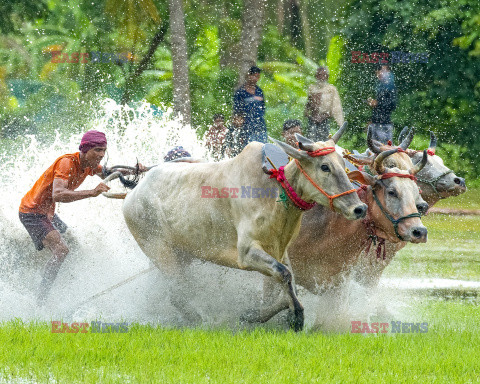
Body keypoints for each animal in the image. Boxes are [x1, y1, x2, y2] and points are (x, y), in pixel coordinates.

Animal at [122, 127, 366, 332]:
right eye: (324, 166)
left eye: (343, 164)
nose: (359, 208)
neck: (274, 192)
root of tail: (134, 192)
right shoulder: (247, 253)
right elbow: (284, 275)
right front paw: (296, 317)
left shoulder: (280, 250)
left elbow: (287, 285)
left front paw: (253, 315)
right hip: (159, 251)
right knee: (177, 294)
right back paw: (199, 320)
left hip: (182, 254)